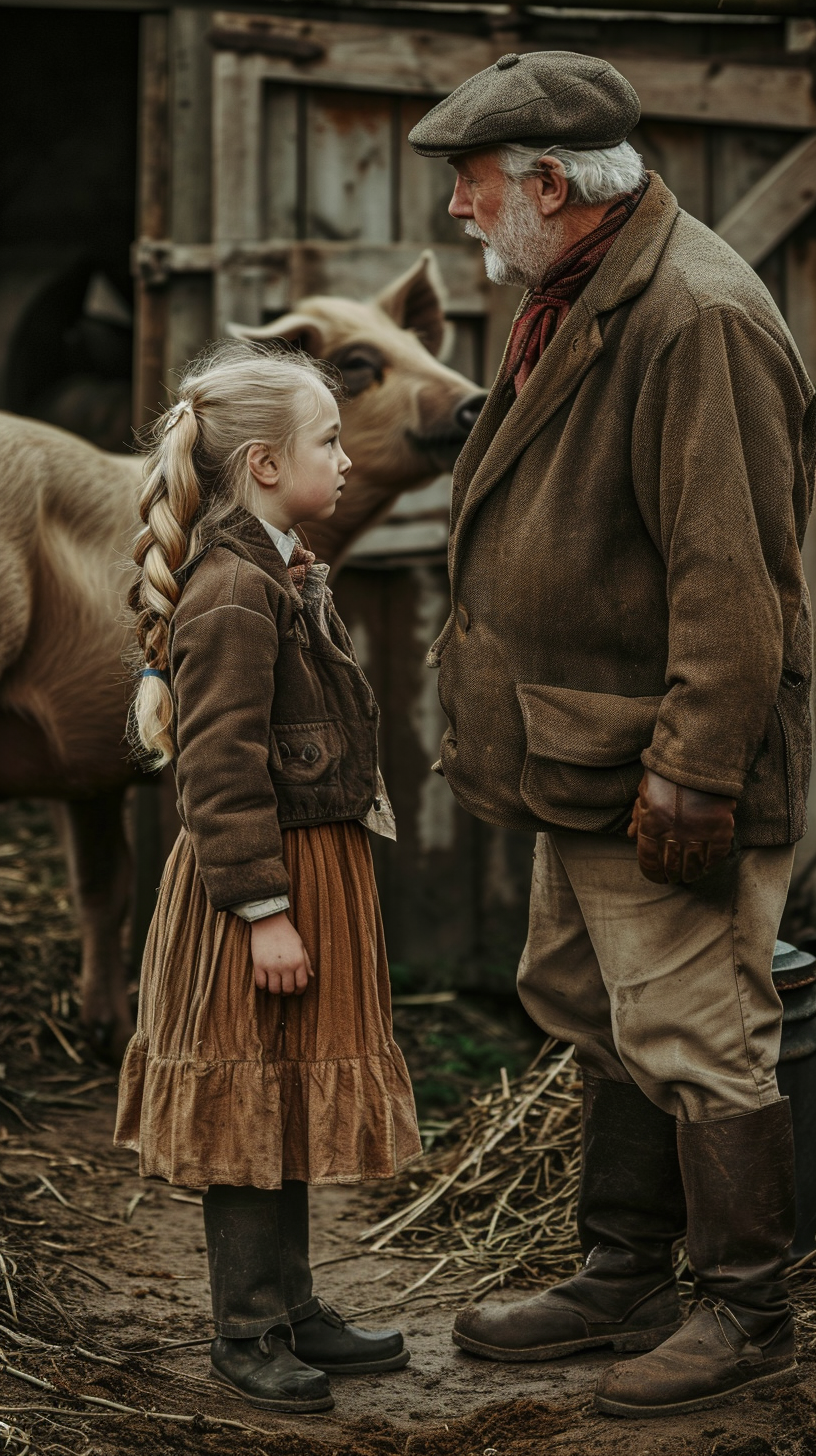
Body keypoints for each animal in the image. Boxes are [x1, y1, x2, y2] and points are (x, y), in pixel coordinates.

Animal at [0, 253, 483, 1059]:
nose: (475, 400)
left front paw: (104, 1030)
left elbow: (103, 885)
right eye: (359, 363)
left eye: (420, 345)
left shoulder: (85, 765)